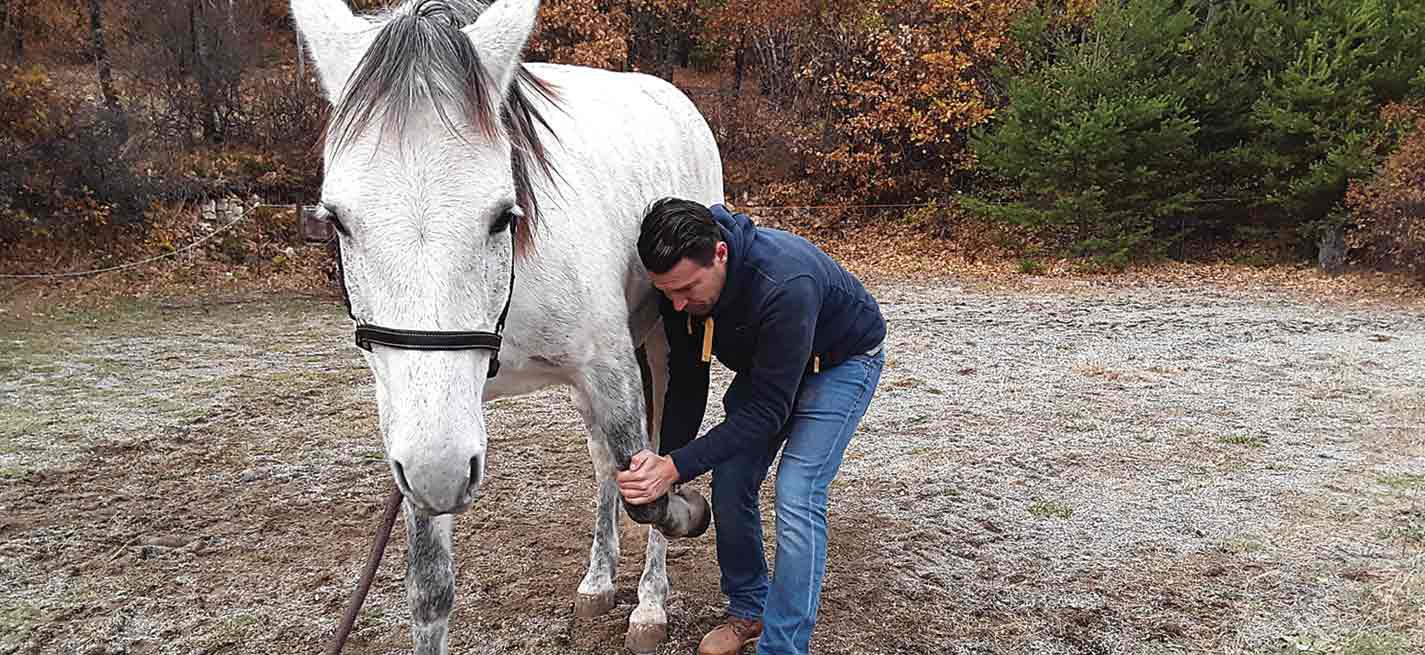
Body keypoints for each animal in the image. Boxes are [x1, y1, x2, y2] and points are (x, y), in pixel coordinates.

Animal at [290, 2, 723, 652]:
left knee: (661, 445)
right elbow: (429, 590)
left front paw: (681, 531)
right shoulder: (422, 433)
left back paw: (648, 601)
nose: (441, 471)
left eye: (502, 214)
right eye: (337, 220)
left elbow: (651, 488)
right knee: (602, 462)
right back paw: (599, 581)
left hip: (664, 349)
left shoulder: (610, 372)